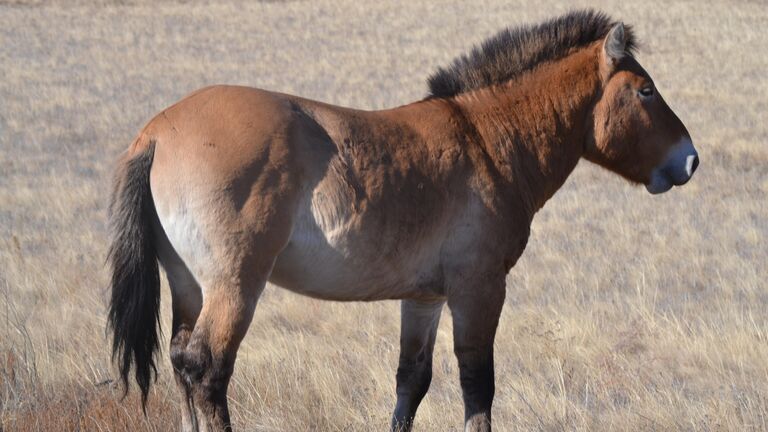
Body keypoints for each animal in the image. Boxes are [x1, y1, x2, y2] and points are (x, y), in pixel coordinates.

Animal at [109, 10, 704, 432]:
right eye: (646, 90)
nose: (690, 159)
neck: (487, 140)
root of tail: (158, 130)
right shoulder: (478, 289)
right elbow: (477, 386)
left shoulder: (424, 299)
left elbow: (410, 384)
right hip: (235, 286)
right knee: (207, 368)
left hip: (189, 286)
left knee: (182, 363)